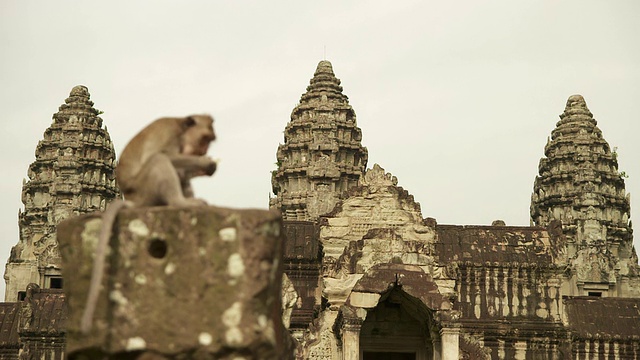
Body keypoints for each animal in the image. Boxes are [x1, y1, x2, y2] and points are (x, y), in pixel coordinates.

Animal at [81, 114, 216, 334]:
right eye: (204, 139)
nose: (203, 151)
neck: (180, 130)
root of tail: (134, 201)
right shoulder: (169, 136)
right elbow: (163, 155)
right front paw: (205, 163)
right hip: (146, 189)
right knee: (160, 160)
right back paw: (180, 202)